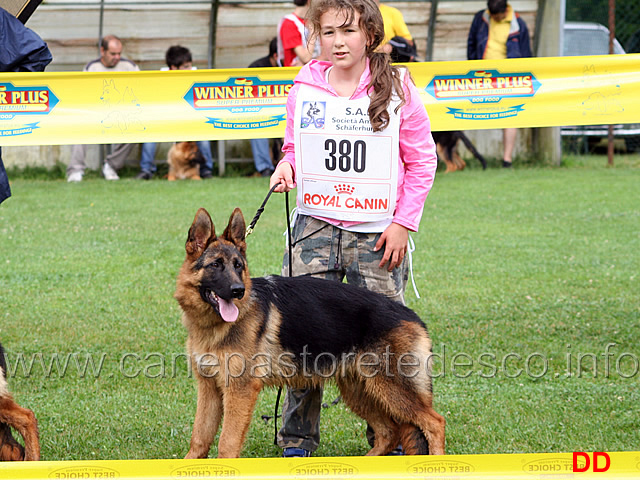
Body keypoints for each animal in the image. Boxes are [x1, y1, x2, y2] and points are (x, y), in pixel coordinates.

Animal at [174, 206, 444, 458]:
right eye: (215, 265)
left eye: (238, 266)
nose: (238, 290)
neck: (214, 325)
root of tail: (413, 317)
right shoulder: (209, 389)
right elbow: (200, 436)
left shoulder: (239, 391)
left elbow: (227, 442)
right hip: (360, 391)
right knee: (388, 432)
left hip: (391, 389)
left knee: (434, 423)